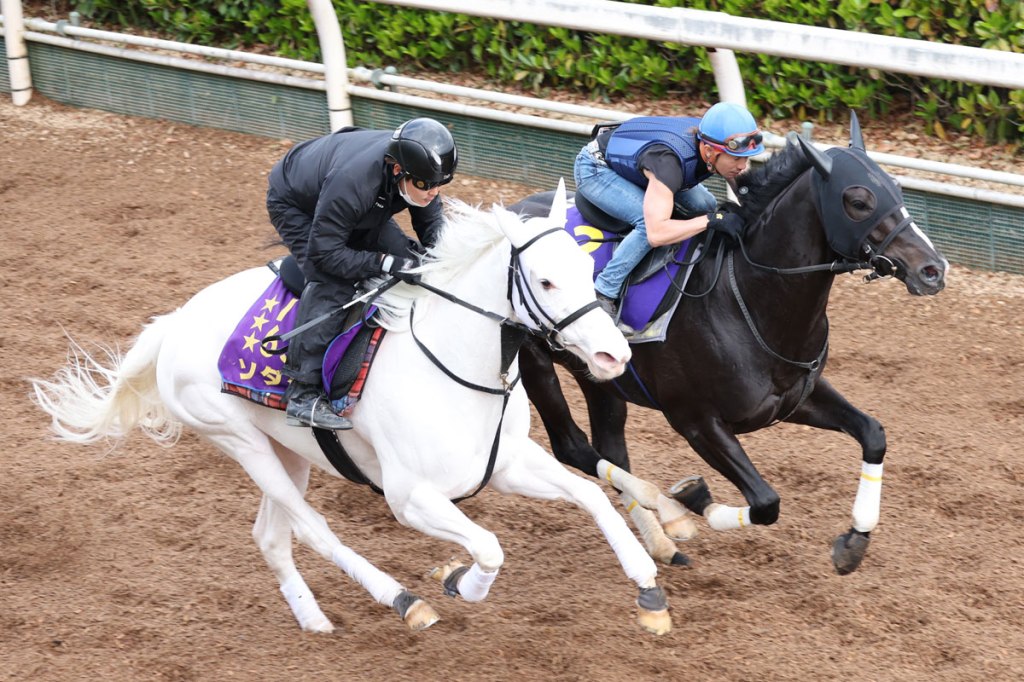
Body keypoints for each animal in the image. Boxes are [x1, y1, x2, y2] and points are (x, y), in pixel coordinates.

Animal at [31, 183, 676, 636]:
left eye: (589, 270)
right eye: (545, 282)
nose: (614, 353)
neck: (454, 366)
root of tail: (173, 323)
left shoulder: (506, 463)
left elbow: (591, 494)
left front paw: (648, 585)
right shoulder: (410, 498)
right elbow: (489, 546)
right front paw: (460, 584)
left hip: (287, 450)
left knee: (271, 536)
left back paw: (313, 618)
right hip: (240, 442)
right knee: (314, 531)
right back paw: (403, 603)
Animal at [512, 116, 948, 575]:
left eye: (897, 188)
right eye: (859, 200)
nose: (933, 269)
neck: (747, 299)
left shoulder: (796, 398)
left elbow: (873, 434)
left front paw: (855, 541)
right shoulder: (695, 421)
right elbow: (767, 502)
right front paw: (693, 498)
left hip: (601, 377)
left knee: (610, 448)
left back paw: (661, 542)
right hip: (536, 361)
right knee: (573, 446)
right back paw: (669, 518)